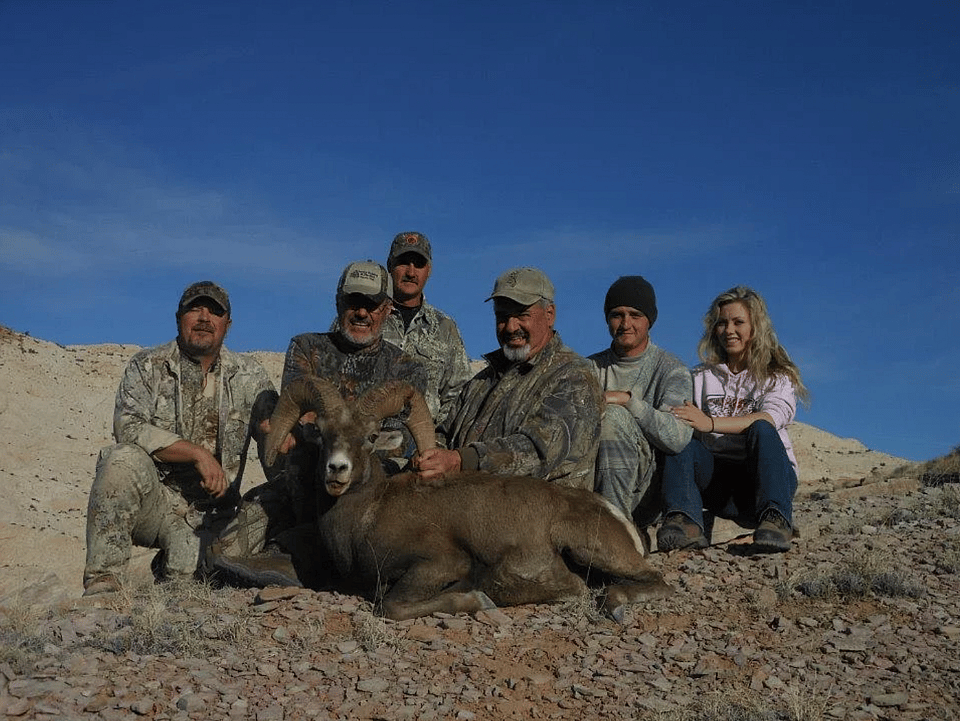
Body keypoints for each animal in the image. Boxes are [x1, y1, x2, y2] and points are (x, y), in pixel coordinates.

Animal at [262, 376, 668, 620]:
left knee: (652, 581)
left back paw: (611, 602)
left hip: (590, 548)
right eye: (322, 433)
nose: (337, 470)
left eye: (371, 436)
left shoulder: (440, 564)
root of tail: (611, 512)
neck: (366, 517)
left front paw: (476, 600)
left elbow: (391, 605)